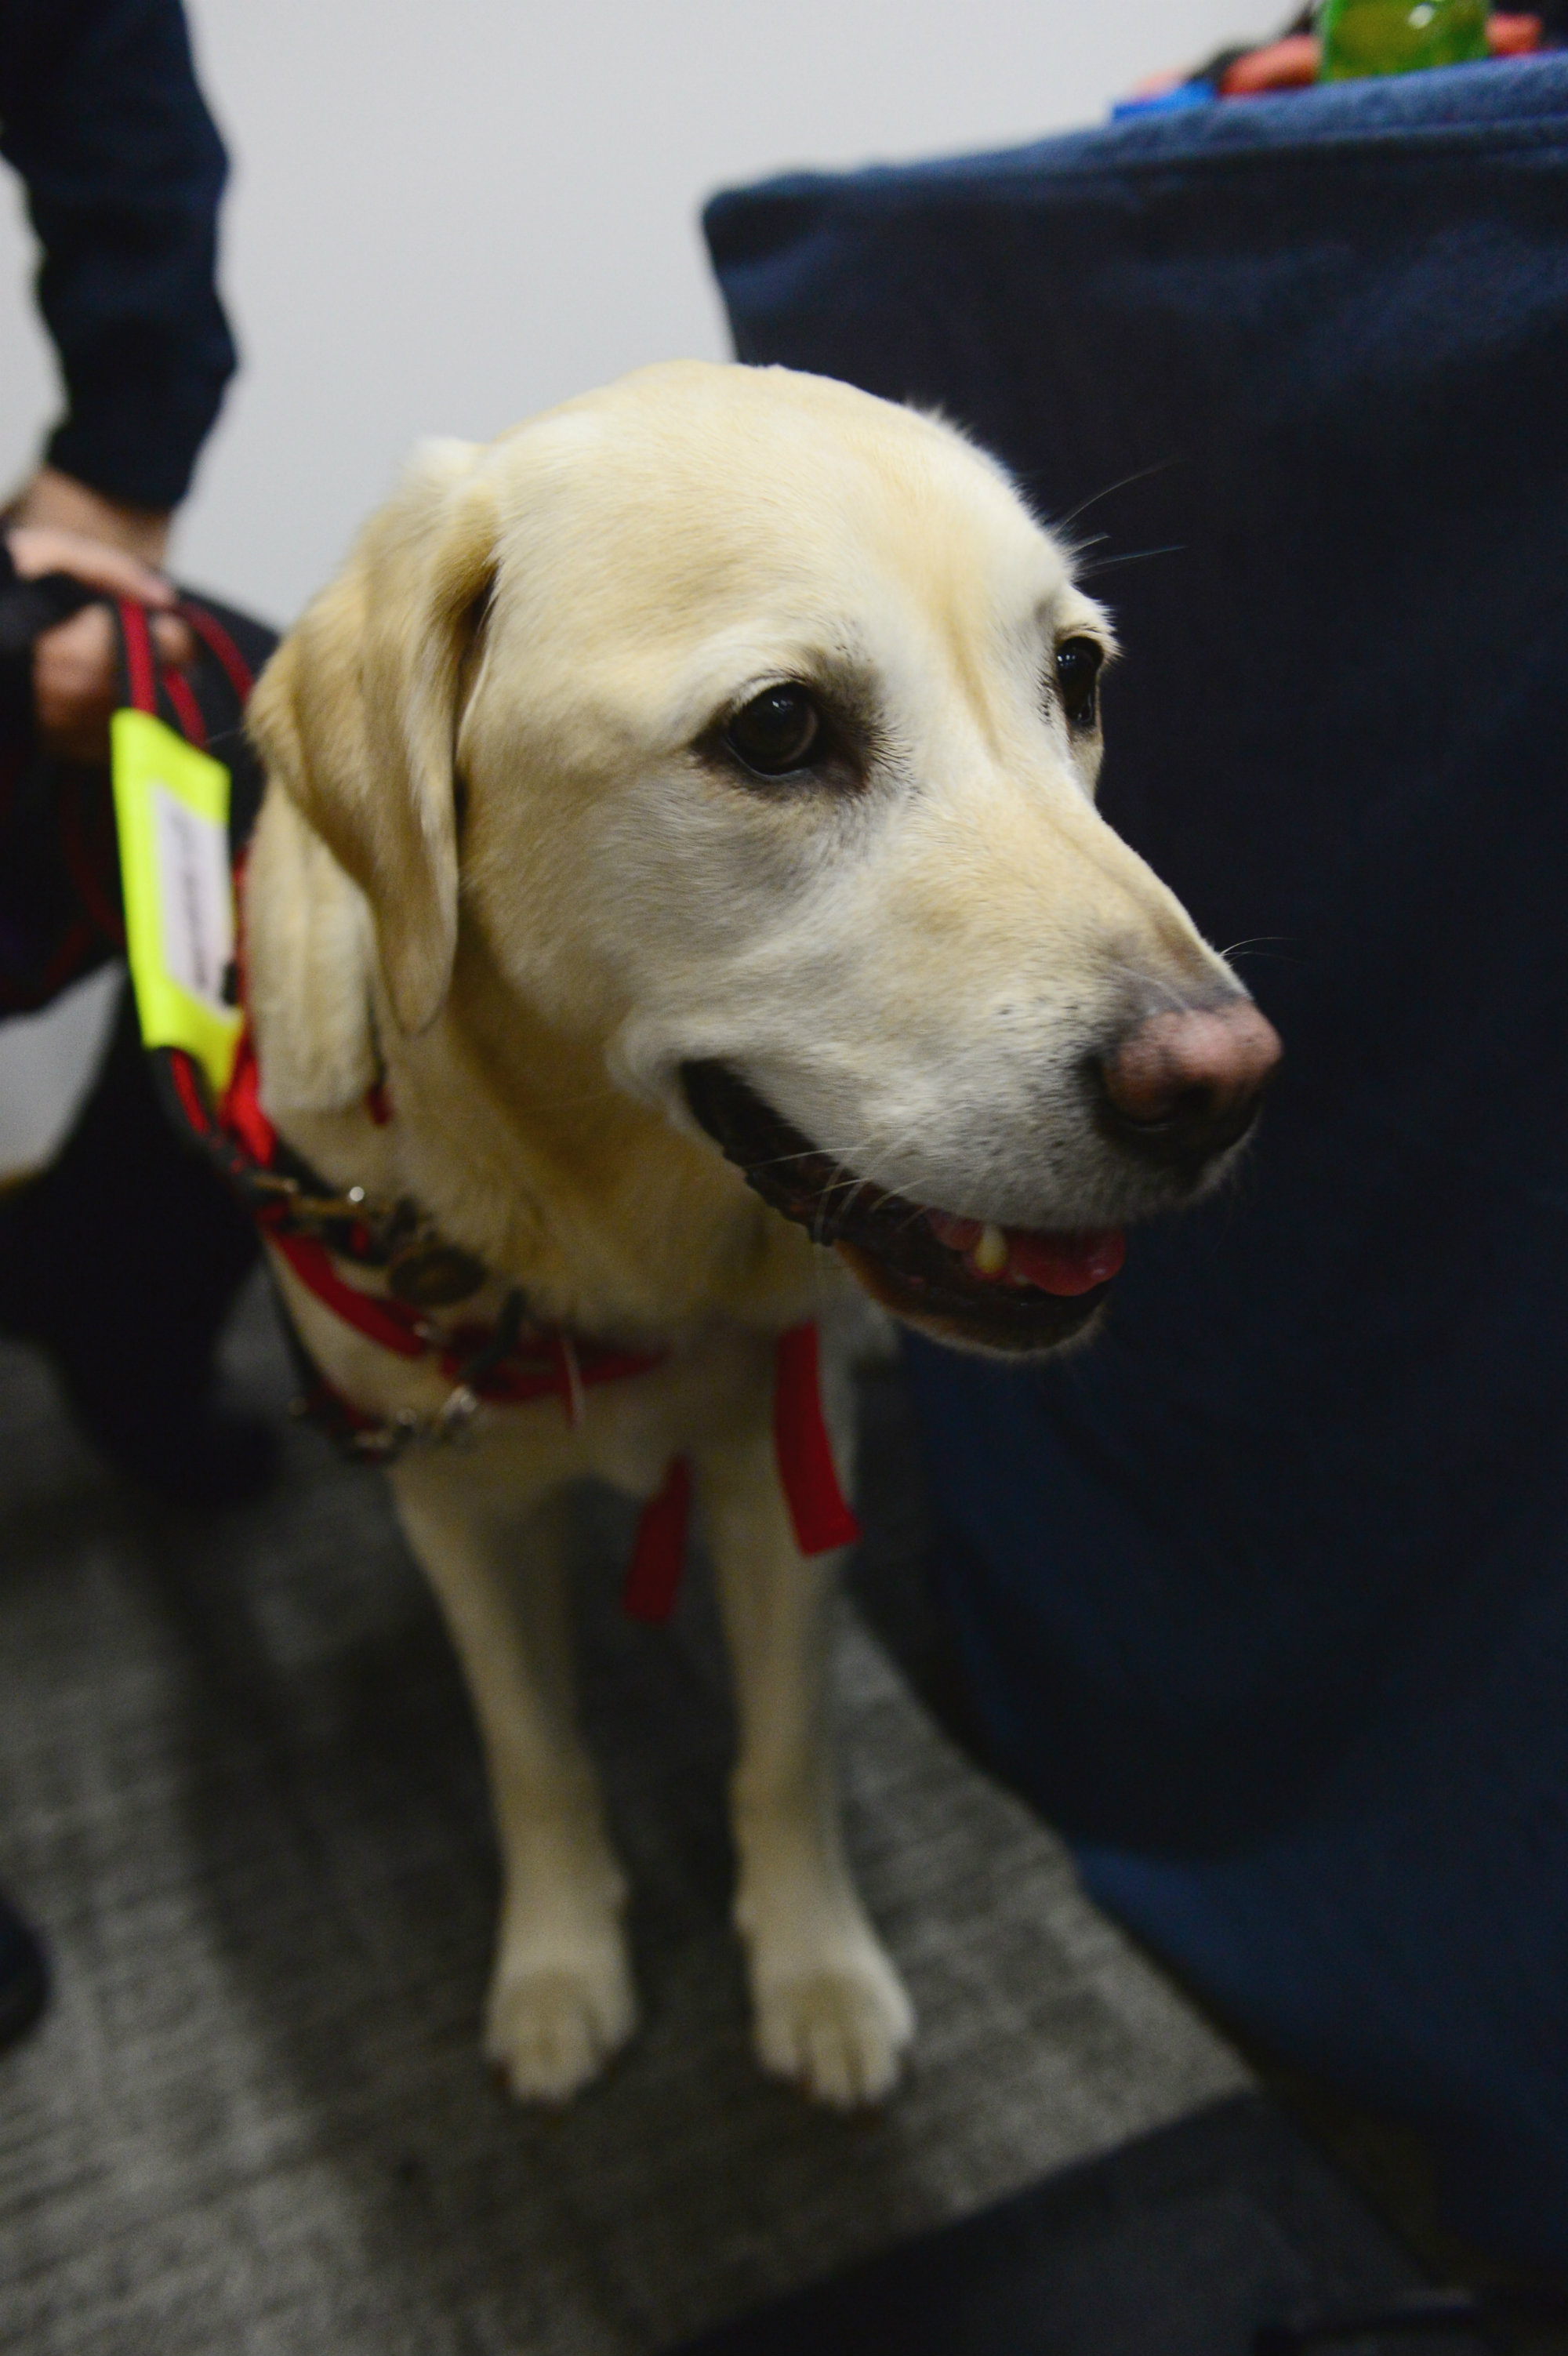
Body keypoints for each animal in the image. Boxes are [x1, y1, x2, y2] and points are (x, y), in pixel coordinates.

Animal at [241, 358, 1271, 2111]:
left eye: (1072, 675)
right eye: (779, 728)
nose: (1222, 1083)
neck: (604, 1243)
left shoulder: (791, 1445)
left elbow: (784, 1750)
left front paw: (814, 1969)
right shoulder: (450, 1507)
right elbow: (533, 1750)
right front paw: (560, 1964)